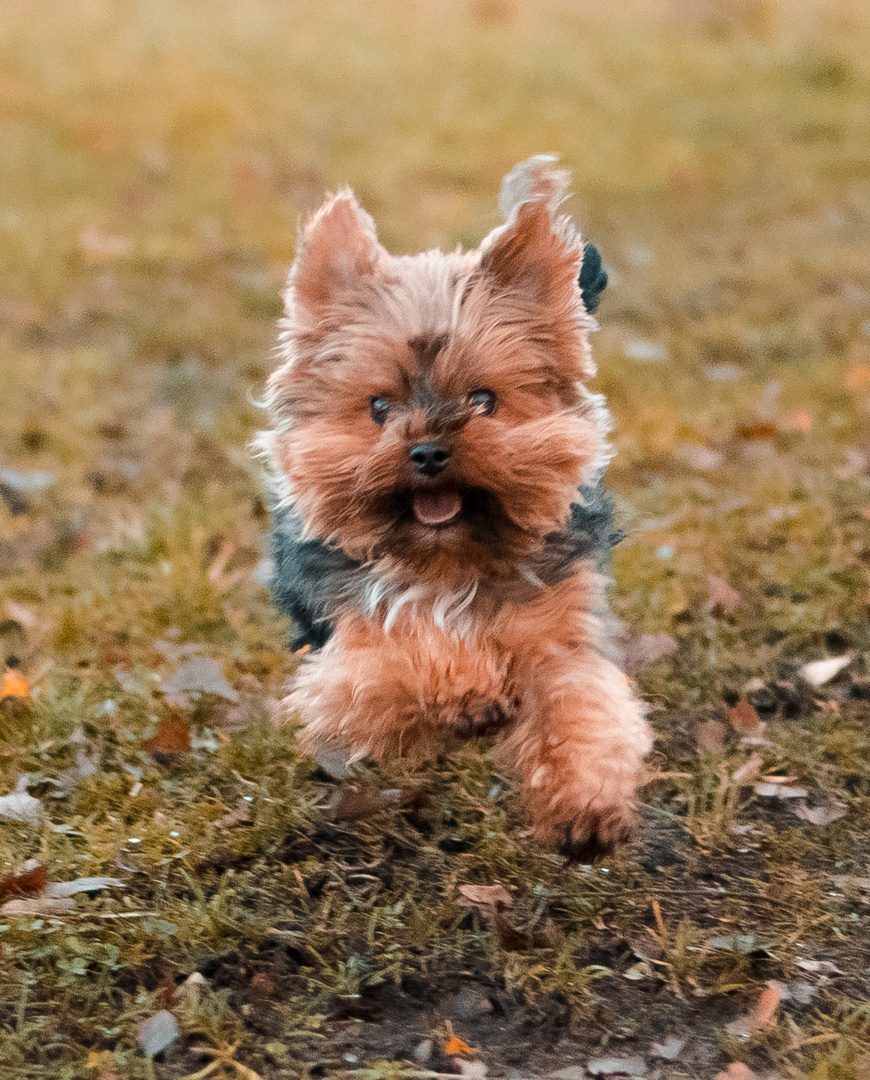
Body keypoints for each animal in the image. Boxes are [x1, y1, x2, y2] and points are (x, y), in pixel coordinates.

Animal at [262, 154, 651, 859]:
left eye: (483, 400)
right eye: (379, 407)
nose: (428, 450)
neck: (448, 558)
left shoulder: (561, 629)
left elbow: (580, 702)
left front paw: (584, 806)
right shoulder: (345, 667)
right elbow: (399, 646)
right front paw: (466, 688)